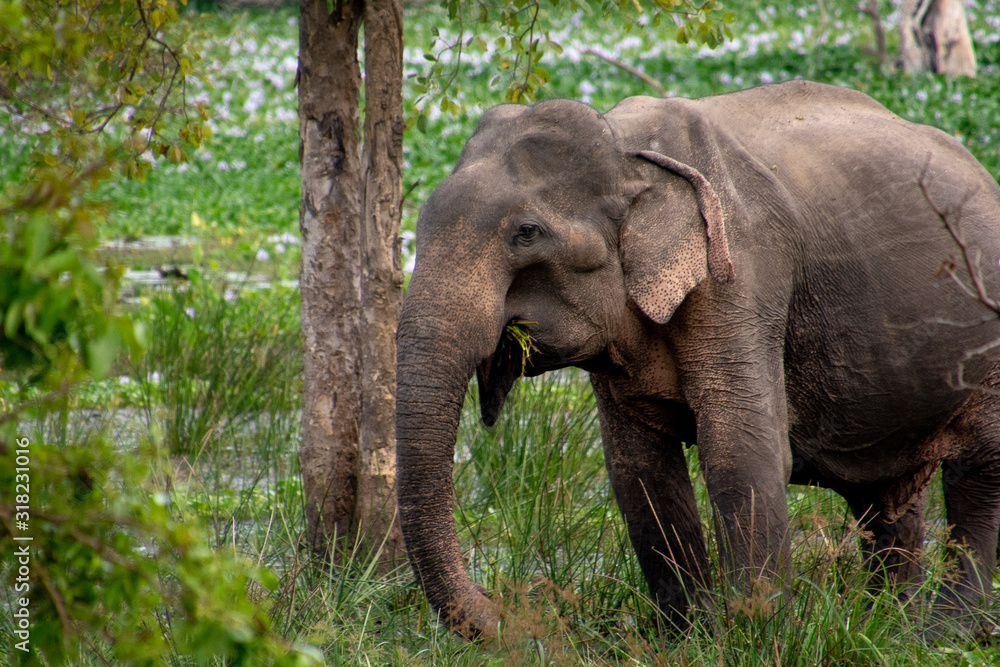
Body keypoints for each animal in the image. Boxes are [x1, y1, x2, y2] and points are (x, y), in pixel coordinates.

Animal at [394, 81, 1000, 640]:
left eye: (527, 233)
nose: (529, 617)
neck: (627, 150)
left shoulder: (742, 272)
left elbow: (742, 450)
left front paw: (757, 634)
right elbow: (638, 469)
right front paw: (691, 636)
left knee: (977, 471)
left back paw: (943, 633)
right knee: (885, 497)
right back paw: (889, 627)